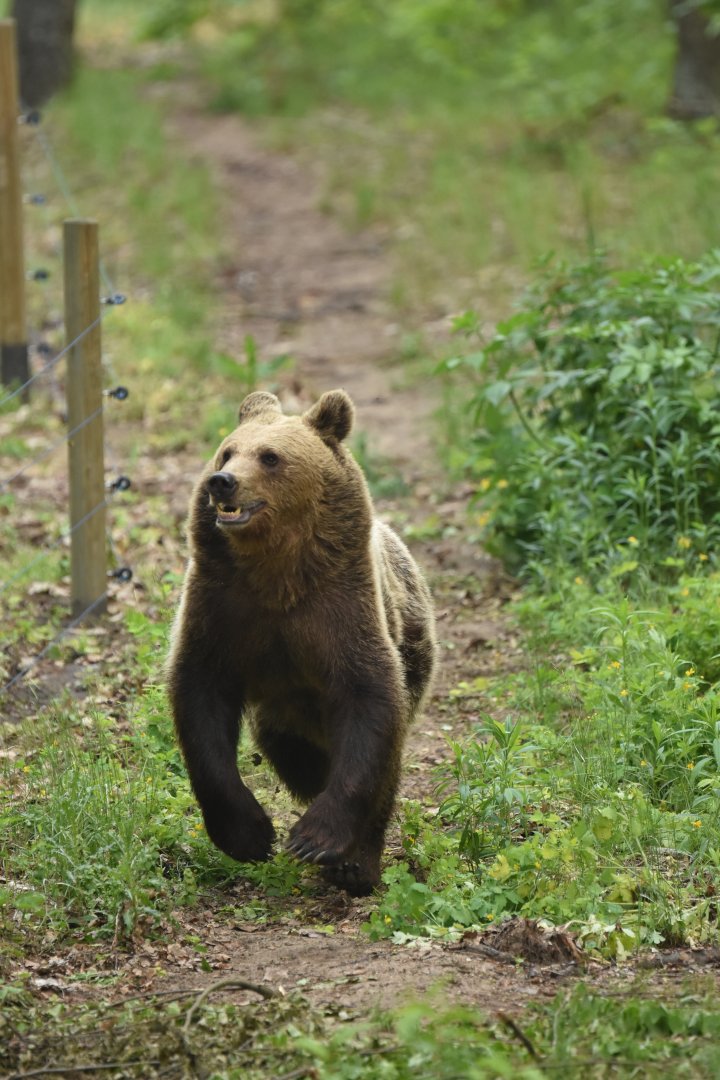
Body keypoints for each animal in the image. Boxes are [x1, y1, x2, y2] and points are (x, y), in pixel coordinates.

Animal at [167, 388, 436, 895]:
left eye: (270, 456)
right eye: (228, 451)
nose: (222, 482)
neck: (277, 574)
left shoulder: (341, 610)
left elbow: (368, 699)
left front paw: (315, 839)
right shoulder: (221, 608)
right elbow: (200, 698)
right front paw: (250, 834)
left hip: (413, 650)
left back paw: (355, 863)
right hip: (282, 714)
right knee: (293, 752)